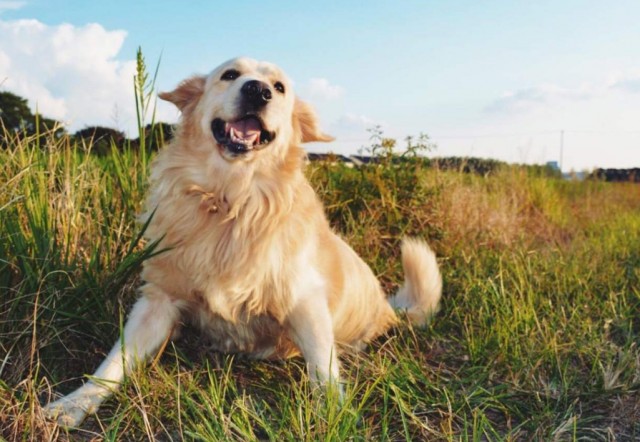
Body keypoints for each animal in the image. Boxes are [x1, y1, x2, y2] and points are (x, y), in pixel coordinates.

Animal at [43, 57, 440, 426]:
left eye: (279, 87)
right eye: (230, 75)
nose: (258, 91)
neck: (231, 200)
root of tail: (389, 309)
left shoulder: (305, 302)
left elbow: (324, 373)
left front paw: (334, 417)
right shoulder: (158, 300)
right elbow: (112, 364)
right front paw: (72, 405)